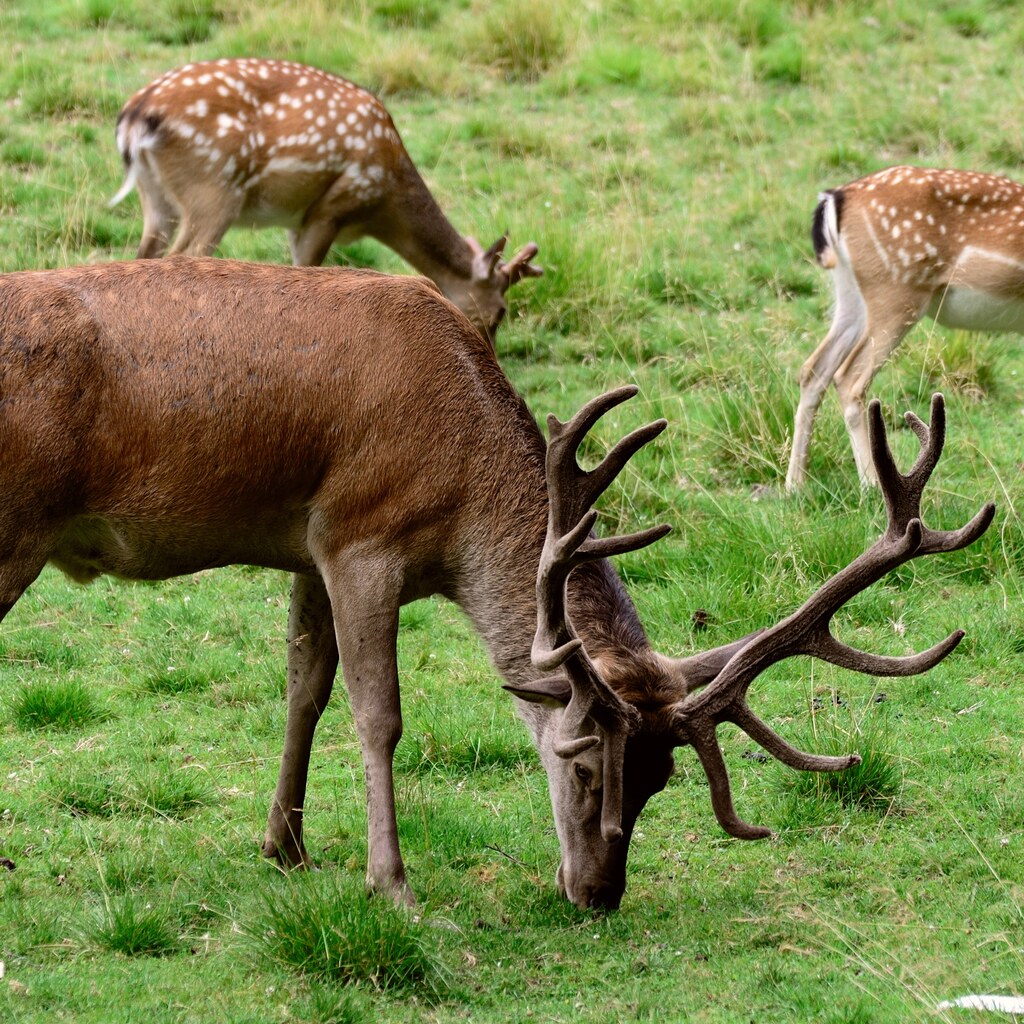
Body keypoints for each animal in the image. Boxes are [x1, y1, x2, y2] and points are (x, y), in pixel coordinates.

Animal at [0, 256, 992, 910]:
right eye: (585, 764)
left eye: (663, 778)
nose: (598, 894)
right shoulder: (362, 537)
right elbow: (379, 714)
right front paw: (391, 883)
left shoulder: (309, 545)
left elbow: (304, 688)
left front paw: (285, 846)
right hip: (16, 527)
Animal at [109, 58, 541, 346]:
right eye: (500, 311)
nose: (488, 352)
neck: (383, 200)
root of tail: (135, 116)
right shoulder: (332, 207)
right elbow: (307, 271)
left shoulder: (296, 220)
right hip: (214, 189)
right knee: (182, 257)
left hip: (157, 196)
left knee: (144, 254)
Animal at [786, 164, 1024, 491]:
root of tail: (835, 197)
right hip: (896, 292)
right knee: (849, 376)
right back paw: (871, 484)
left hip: (851, 294)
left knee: (813, 369)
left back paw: (794, 485)